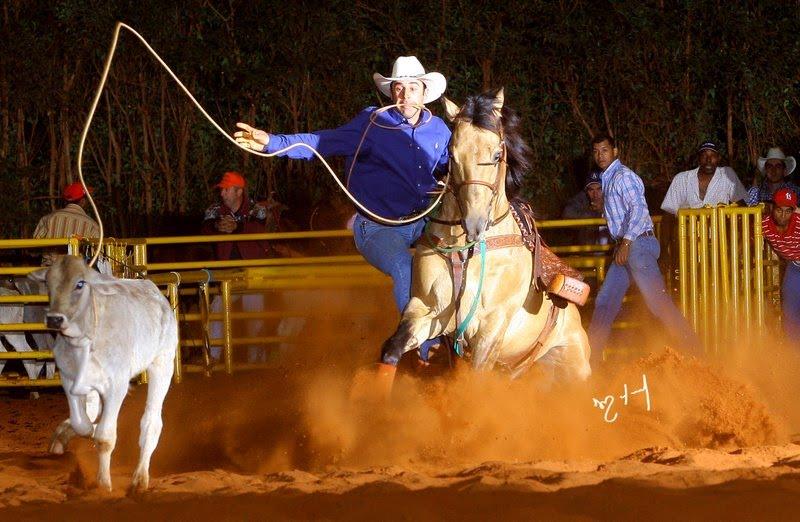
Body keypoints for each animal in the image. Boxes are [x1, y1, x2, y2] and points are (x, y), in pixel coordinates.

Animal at [375, 88, 591, 387]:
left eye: (498, 154)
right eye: (451, 154)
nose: (474, 223)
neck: (466, 252)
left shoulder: (491, 328)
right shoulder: (428, 310)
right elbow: (393, 348)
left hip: (574, 366)